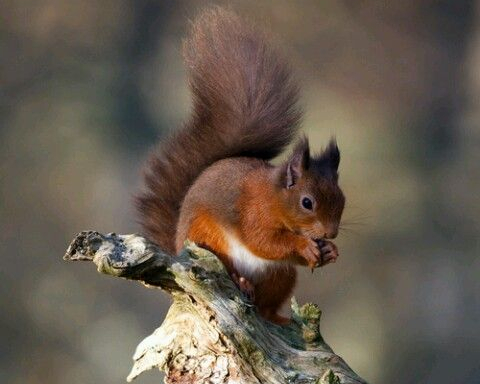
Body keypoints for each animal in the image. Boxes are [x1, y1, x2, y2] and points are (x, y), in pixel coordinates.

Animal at [137, 6, 344, 324]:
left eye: (342, 200)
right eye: (307, 202)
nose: (330, 233)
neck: (274, 199)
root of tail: (177, 246)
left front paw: (330, 251)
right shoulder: (252, 214)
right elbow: (264, 241)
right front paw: (305, 246)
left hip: (280, 276)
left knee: (266, 304)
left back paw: (276, 316)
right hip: (208, 241)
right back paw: (240, 280)